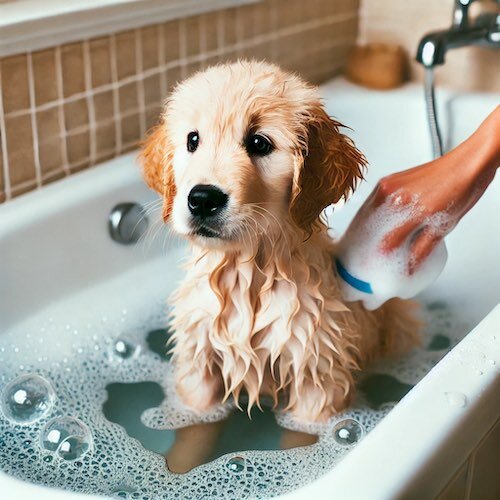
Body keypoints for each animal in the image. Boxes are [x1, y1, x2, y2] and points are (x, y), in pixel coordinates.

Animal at [140, 60, 418, 424]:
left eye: (260, 143)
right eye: (193, 140)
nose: (202, 199)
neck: (249, 272)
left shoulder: (317, 374)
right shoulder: (198, 367)